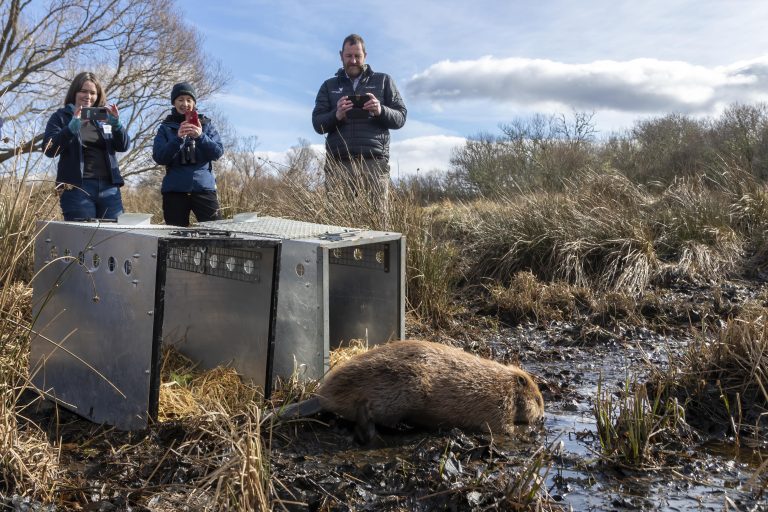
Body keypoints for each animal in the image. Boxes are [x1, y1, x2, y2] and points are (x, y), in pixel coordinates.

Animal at [276, 338, 544, 442]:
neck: (505, 383)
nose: (542, 416)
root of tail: (320, 398)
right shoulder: (498, 404)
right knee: (366, 416)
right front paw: (523, 431)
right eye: (539, 400)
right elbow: (501, 428)